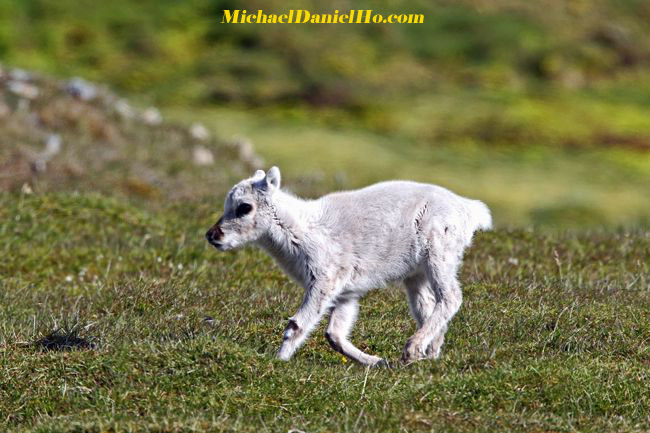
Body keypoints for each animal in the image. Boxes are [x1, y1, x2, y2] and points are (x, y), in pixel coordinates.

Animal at [205, 167, 488, 362]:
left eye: (244, 207)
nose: (212, 235)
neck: (302, 230)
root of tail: (471, 210)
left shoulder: (324, 279)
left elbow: (297, 324)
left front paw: (278, 361)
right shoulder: (346, 292)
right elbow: (335, 335)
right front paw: (377, 362)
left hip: (439, 254)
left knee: (451, 296)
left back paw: (412, 349)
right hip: (416, 274)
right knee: (427, 305)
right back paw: (427, 356)